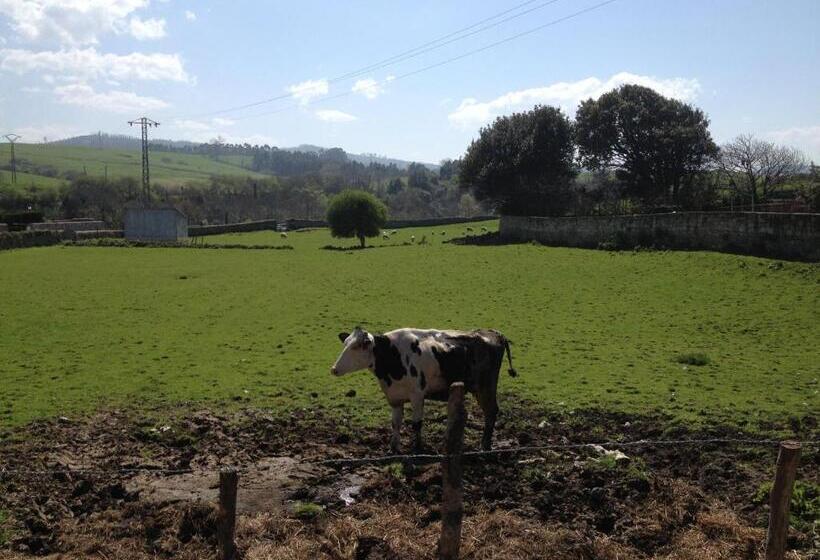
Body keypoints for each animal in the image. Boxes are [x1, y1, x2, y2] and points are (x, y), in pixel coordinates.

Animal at [330, 328, 516, 450]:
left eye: (357, 346)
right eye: (345, 343)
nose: (334, 369)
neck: (392, 356)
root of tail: (494, 333)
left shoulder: (417, 395)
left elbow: (416, 424)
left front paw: (417, 448)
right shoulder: (395, 397)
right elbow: (395, 423)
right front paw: (394, 448)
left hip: (486, 386)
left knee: (491, 411)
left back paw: (485, 445)